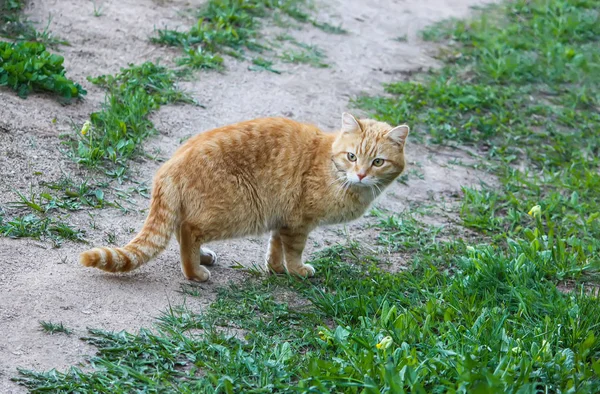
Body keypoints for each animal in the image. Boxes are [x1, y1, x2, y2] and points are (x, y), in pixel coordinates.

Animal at [78, 112, 408, 282]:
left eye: (377, 162)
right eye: (352, 157)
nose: (361, 174)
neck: (332, 168)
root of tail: (169, 165)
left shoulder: (282, 219)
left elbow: (275, 247)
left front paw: (275, 270)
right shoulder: (299, 224)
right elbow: (294, 251)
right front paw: (297, 271)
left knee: (181, 229)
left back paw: (202, 258)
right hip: (239, 210)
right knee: (187, 231)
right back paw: (195, 272)